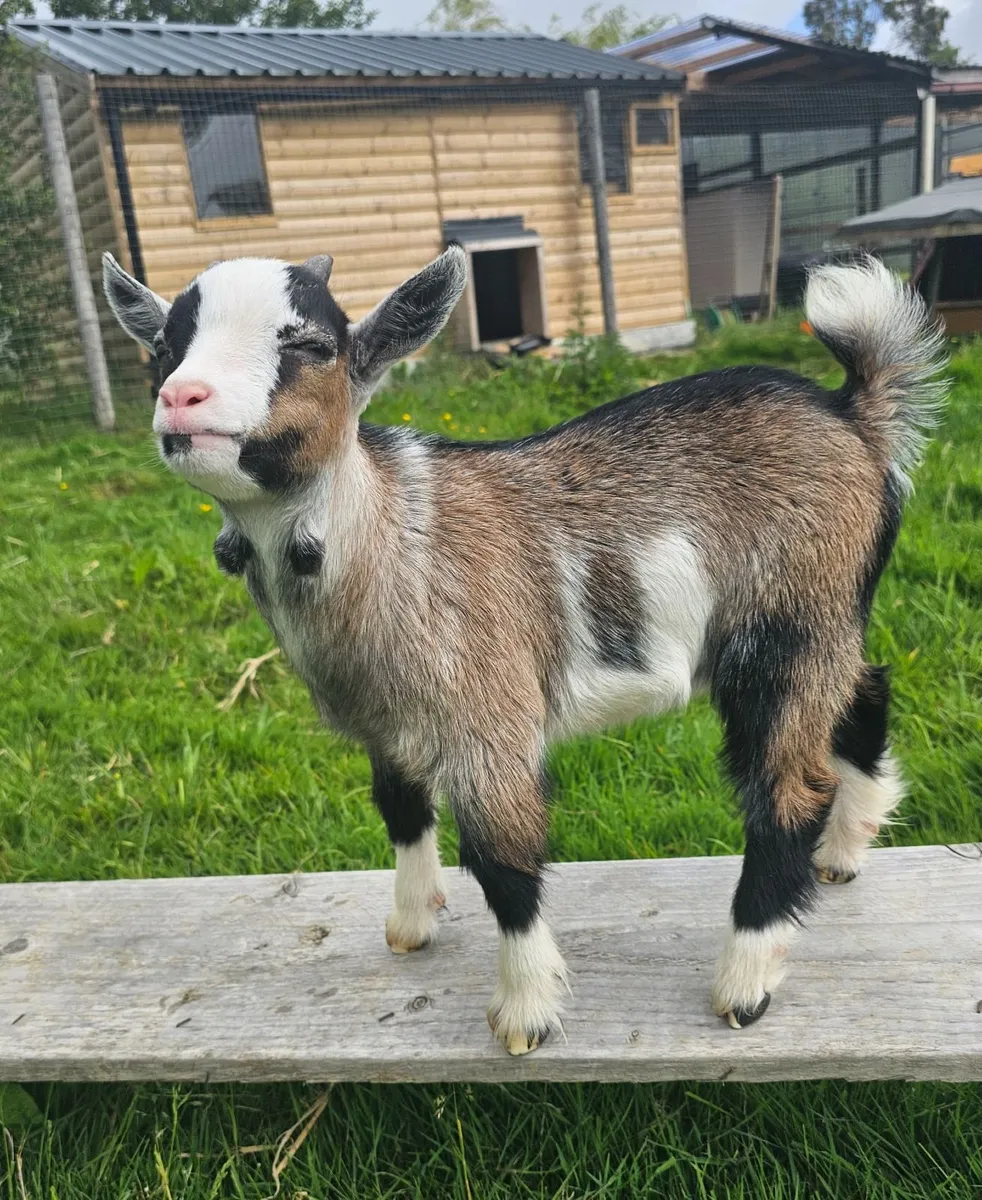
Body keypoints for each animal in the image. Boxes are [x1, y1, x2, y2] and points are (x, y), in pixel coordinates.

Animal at [103, 248, 946, 1055]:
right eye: (163, 347)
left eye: (310, 344)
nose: (183, 397)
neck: (391, 537)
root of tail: (854, 414)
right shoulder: (386, 722)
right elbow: (401, 809)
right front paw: (412, 924)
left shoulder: (490, 713)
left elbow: (505, 862)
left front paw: (525, 1015)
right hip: (830, 620)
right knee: (866, 689)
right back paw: (847, 846)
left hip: (786, 627)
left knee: (786, 790)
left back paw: (745, 981)